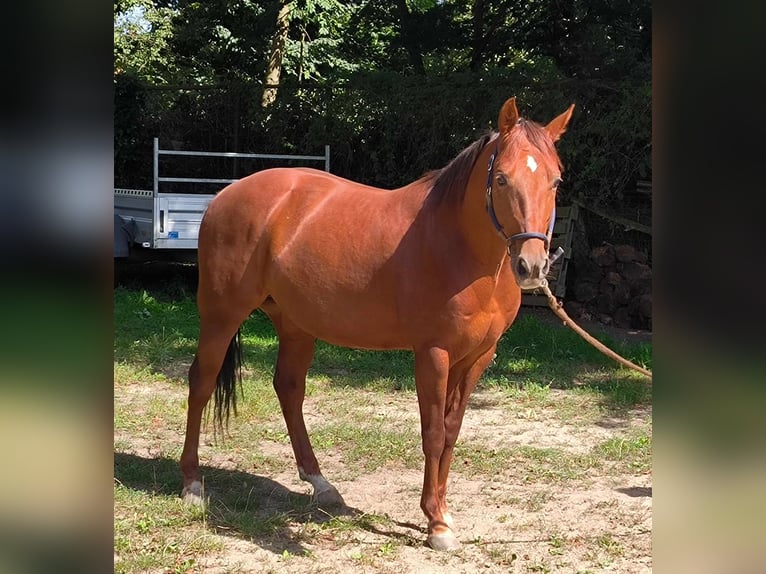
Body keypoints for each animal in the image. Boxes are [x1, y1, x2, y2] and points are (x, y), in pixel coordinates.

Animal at [182, 97, 576, 552]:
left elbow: (452, 431)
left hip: (295, 324)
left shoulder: (477, 356)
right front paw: (435, 523)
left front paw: (443, 511)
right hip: (221, 315)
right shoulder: (433, 354)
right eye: (502, 178)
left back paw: (321, 484)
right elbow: (433, 433)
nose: (531, 266)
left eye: (555, 181)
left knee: (289, 389)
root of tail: (226, 194)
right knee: (202, 383)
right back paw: (192, 484)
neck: (459, 247)